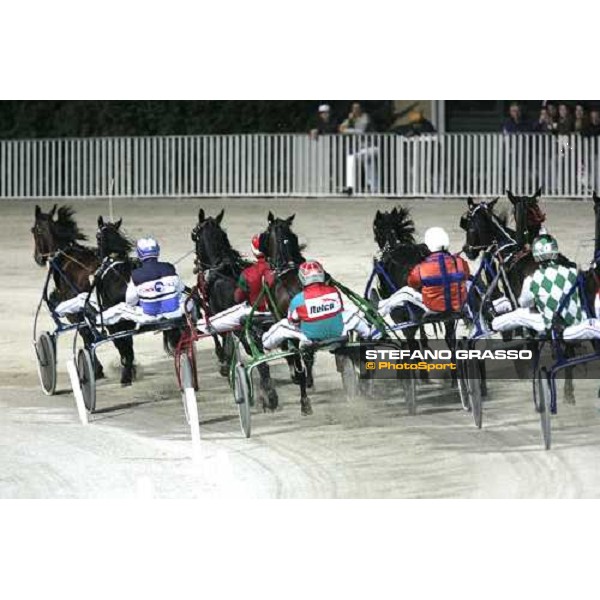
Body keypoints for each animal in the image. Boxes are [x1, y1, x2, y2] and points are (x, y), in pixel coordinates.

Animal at [32, 204, 105, 378]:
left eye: (34, 230)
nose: (38, 258)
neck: (65, 256)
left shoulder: (75, 311)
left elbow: (85, 333)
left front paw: (95, 368)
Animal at [192, 209, 278, 410]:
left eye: (194, 235)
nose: (196, 265)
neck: (221, 269)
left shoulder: (215, 313)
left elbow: (217, 335)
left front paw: (224, 363)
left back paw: (267, 392)